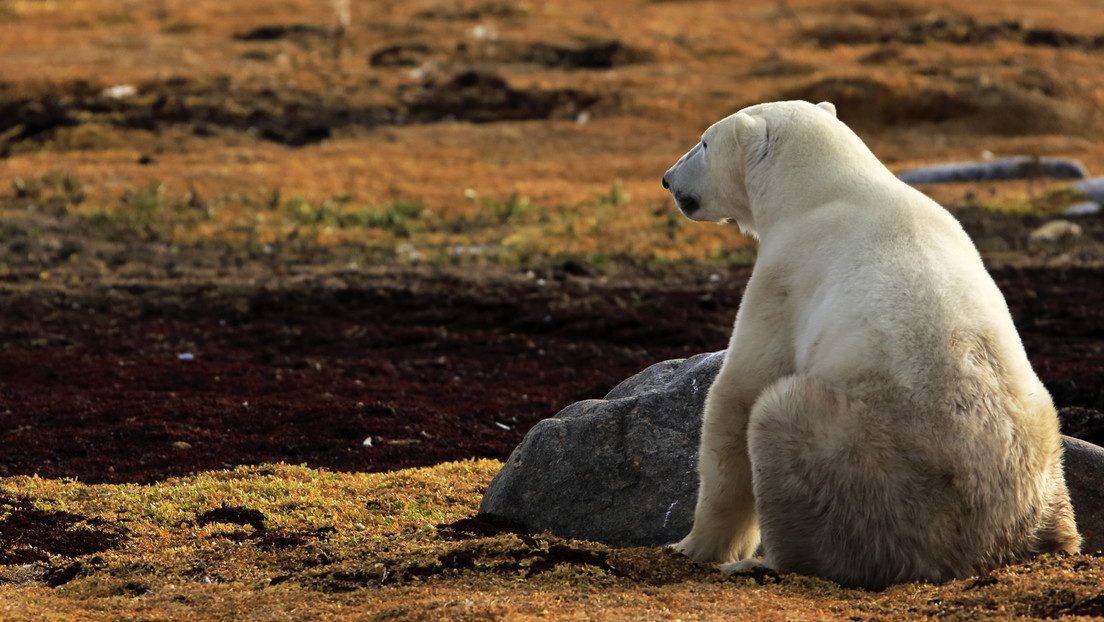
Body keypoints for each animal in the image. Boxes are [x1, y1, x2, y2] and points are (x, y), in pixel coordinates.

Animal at [662, 101, 1077, 587]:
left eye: (704, 142)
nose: (668, 179)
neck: (827, 188)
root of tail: (976, 541)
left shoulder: (785, 276)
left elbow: (739, 393)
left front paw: (693, 546)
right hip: (1042, 444)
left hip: (860, 464)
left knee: (779, 417)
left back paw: (763, 562)